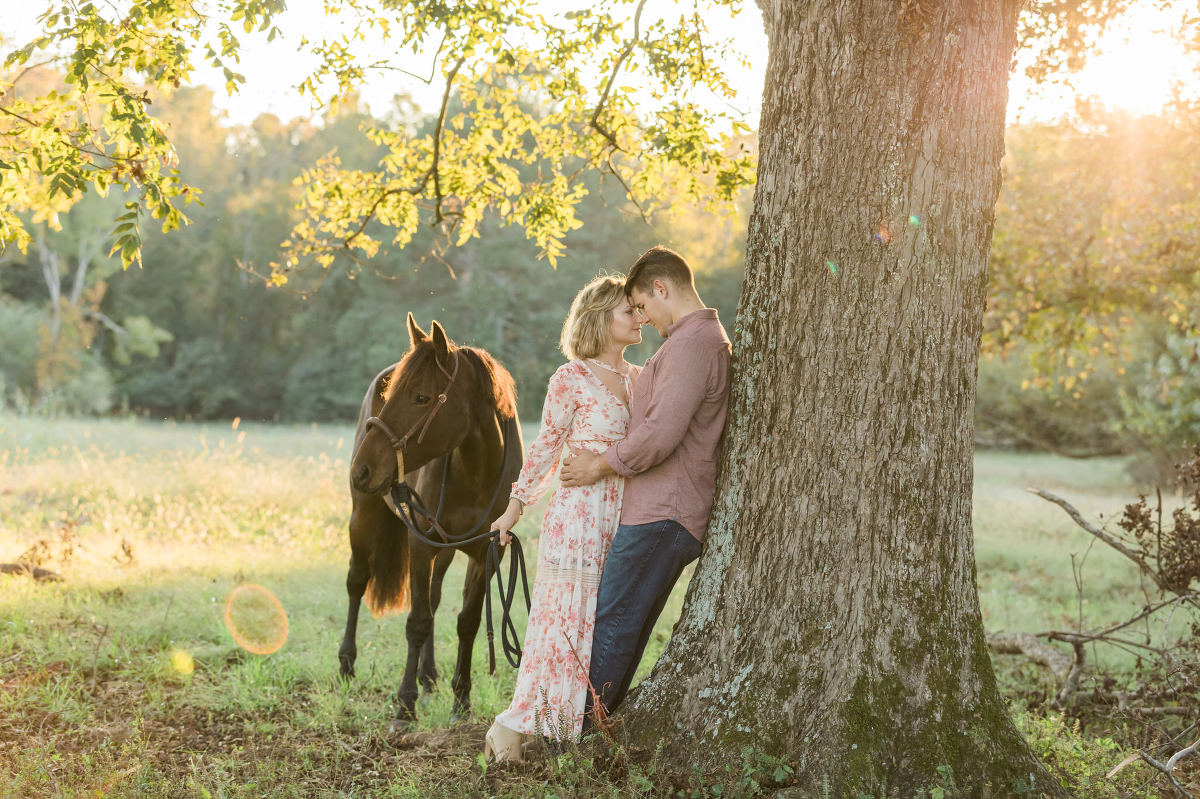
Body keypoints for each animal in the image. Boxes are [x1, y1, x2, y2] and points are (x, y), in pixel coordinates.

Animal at [340, 311, 523, 729]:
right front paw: (404, 706)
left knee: (435, 598)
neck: (476, 472)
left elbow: (467, 622)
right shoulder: (420, 545)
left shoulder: (487, 553)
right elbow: (417, 622)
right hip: (364, 516)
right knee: (357, 582)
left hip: (447, 549)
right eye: (391, 393)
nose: (361, 468)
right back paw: (347, 664)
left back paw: (429, 675)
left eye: (421, 397)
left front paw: (461, 701)